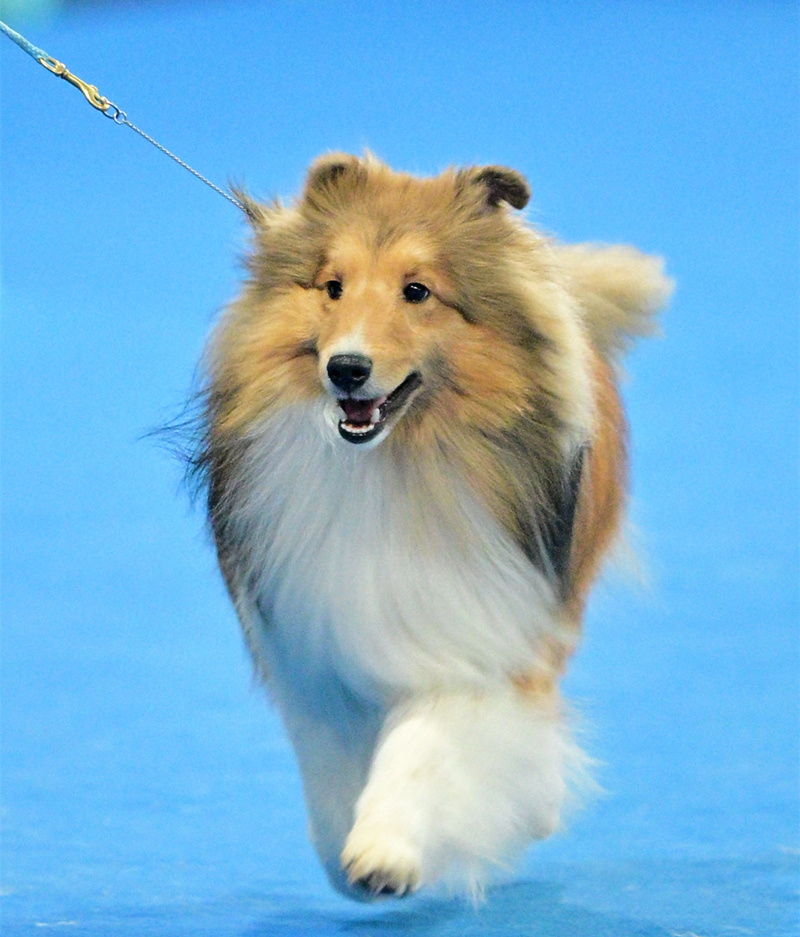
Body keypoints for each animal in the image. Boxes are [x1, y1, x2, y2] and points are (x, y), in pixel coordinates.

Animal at [192, 153, 671, 900]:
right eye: (333, 287)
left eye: (417, 291)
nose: (346, 369)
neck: (393, 468)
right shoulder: (312, 652)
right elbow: (329, 765)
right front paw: (342, 849)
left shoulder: (477, 631)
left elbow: (424, 743)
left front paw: (385, 852)